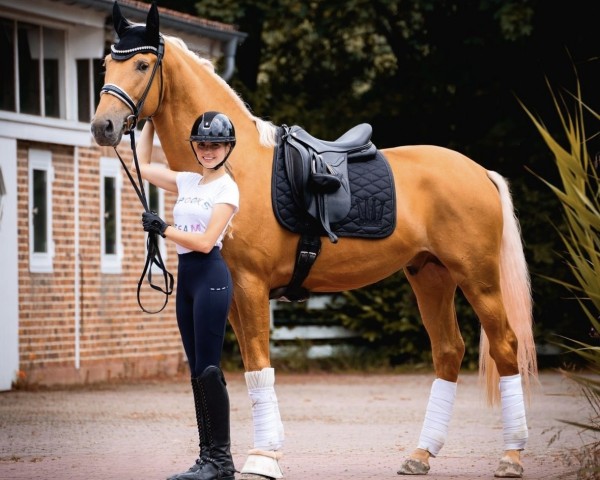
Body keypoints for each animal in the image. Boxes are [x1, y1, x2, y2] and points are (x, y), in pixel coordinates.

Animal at [91, 1, 536, 478]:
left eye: (141, 64)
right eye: (106, 65)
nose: (103, 126)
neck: (234, 165)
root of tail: (479, 172)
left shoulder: (250, 287)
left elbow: (258, 367)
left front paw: (263, 458)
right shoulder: (234, 295)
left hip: (478, 279)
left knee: (505, 347)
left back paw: (511, 456)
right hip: (430, 276)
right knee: (449, 351)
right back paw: (420, 455)